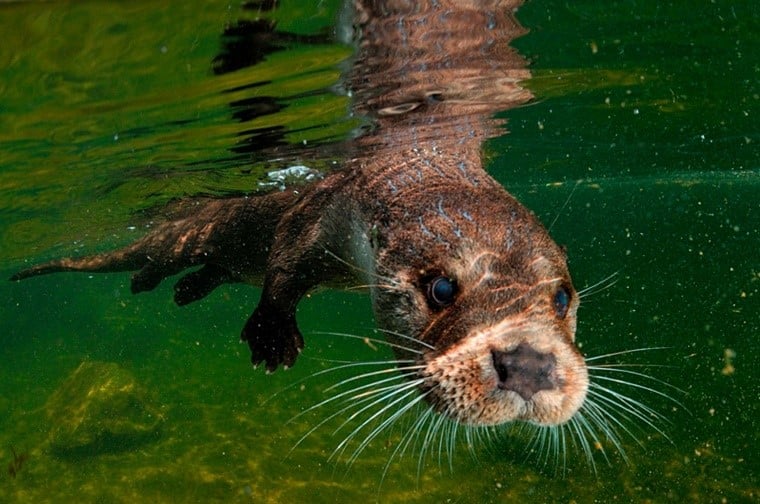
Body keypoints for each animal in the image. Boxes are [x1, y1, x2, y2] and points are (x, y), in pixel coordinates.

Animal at [8, 1, 588, 432]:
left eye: (562, 297)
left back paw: (185, 291)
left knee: (211, 270)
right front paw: (273, 338)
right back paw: (149, 283)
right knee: (156, 259)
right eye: (442, 289)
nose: (529, 365)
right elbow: (283, 265)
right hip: (180, 236)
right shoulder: (318, 213)